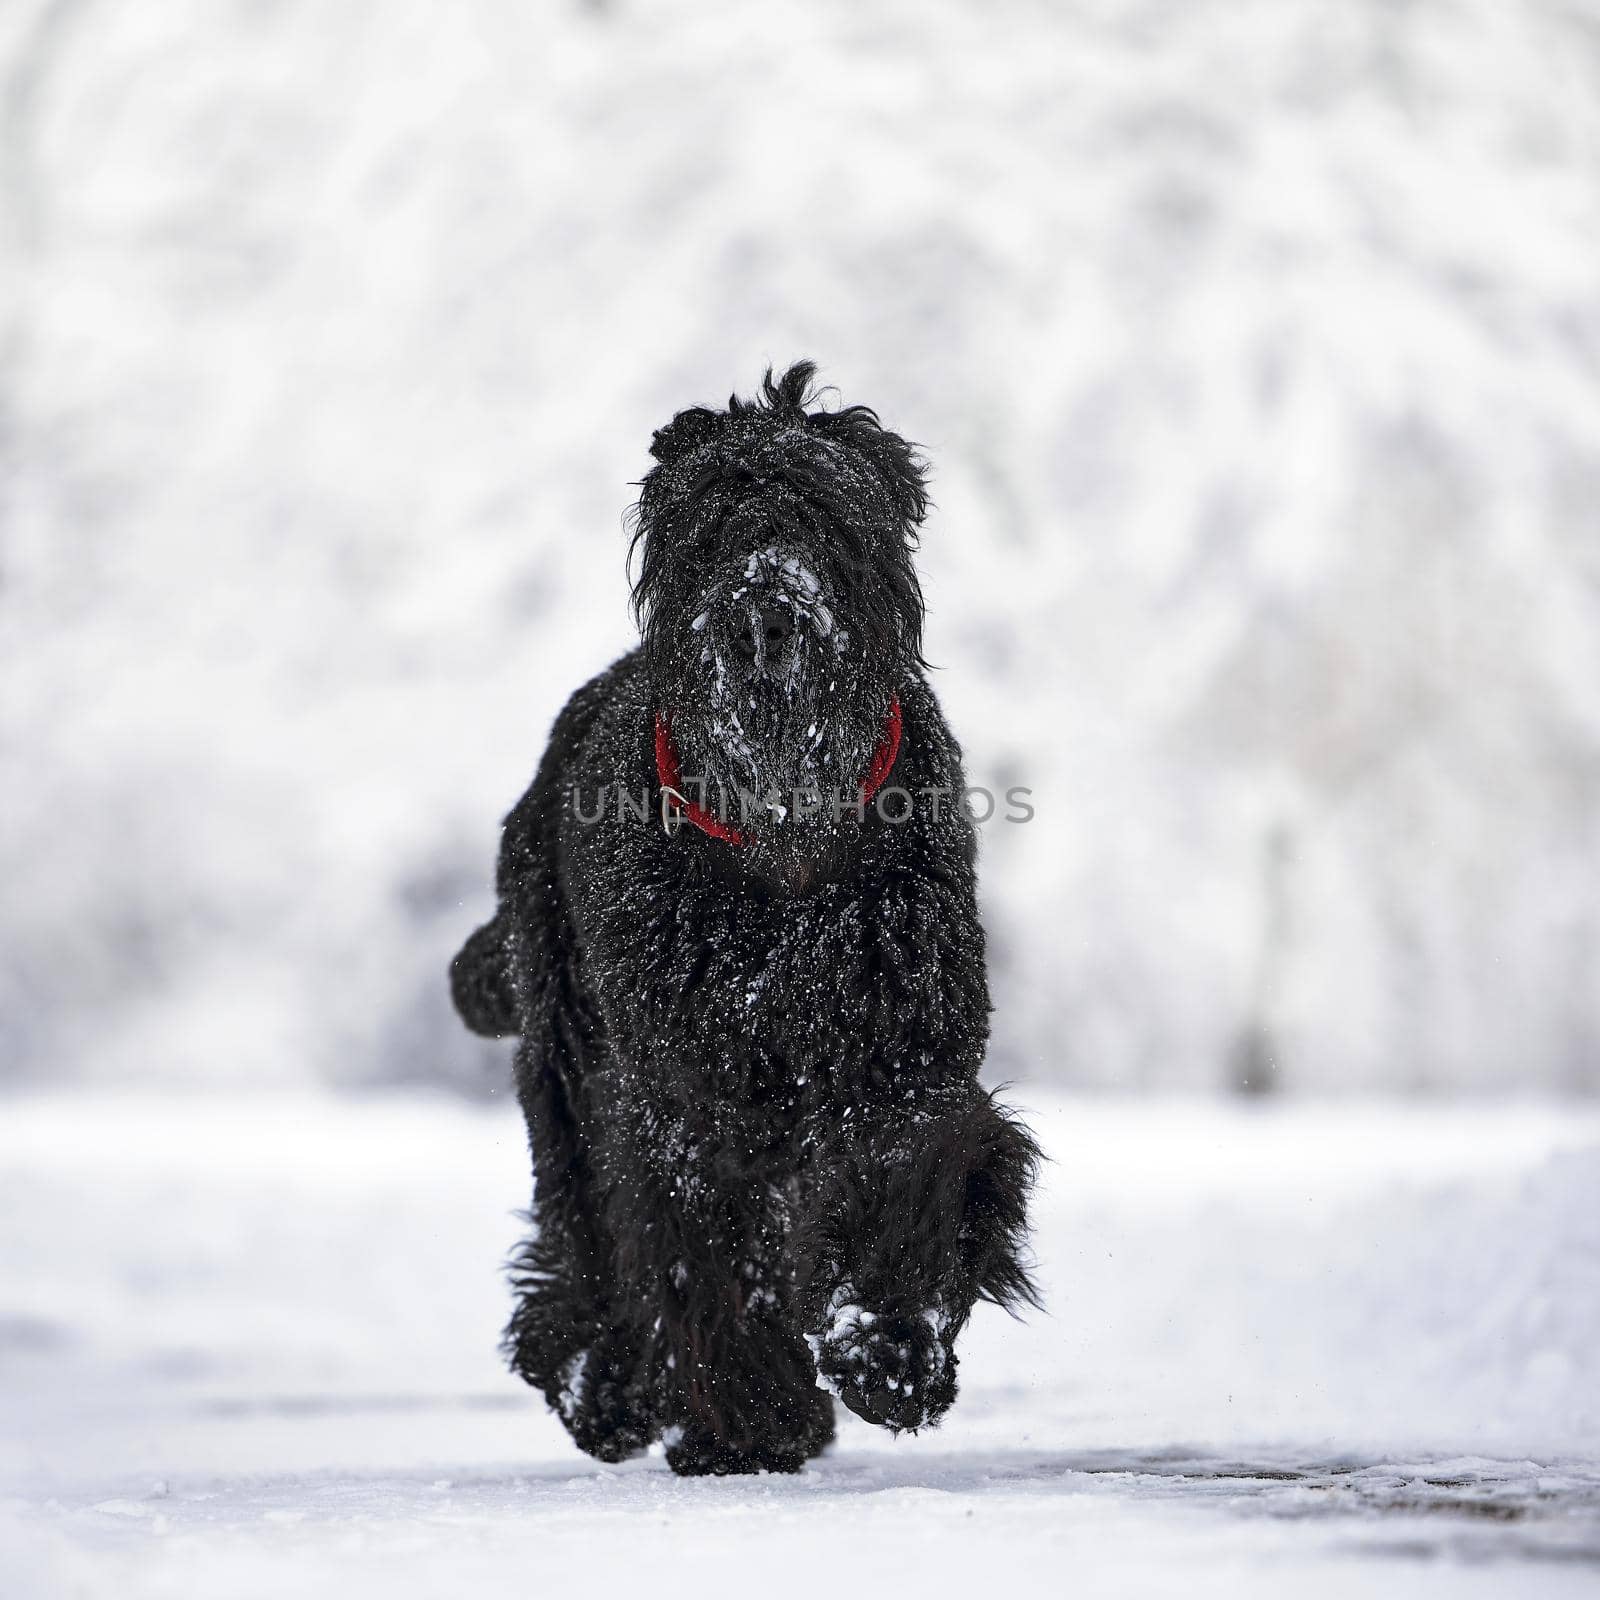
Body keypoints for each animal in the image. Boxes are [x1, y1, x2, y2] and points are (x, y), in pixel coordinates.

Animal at [457, 363, 1043, 1472]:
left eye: (827, 514)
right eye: (710, 523)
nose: (766, 614)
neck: (782, 860)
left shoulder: (904, 1054)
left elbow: (910, 1172)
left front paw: (888, 1350)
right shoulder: (683, 1099)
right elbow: (701, 1254)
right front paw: (757, 1420)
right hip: (568, 1059)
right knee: (584, 1235)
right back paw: (605, 1385)